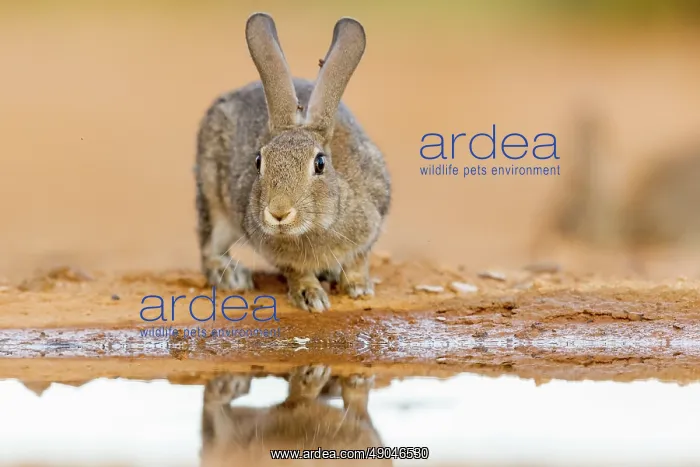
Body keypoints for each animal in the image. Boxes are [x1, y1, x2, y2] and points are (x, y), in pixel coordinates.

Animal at [194, 12, 391, 313]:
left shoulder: (374, 219)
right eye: (258, 161)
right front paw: (310, 297)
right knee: (209, 246)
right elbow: (297, 272)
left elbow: (359, 261)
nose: (278, 212)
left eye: (320, 163)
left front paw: (359, 288)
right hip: (212, 196)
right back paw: (230, 275)